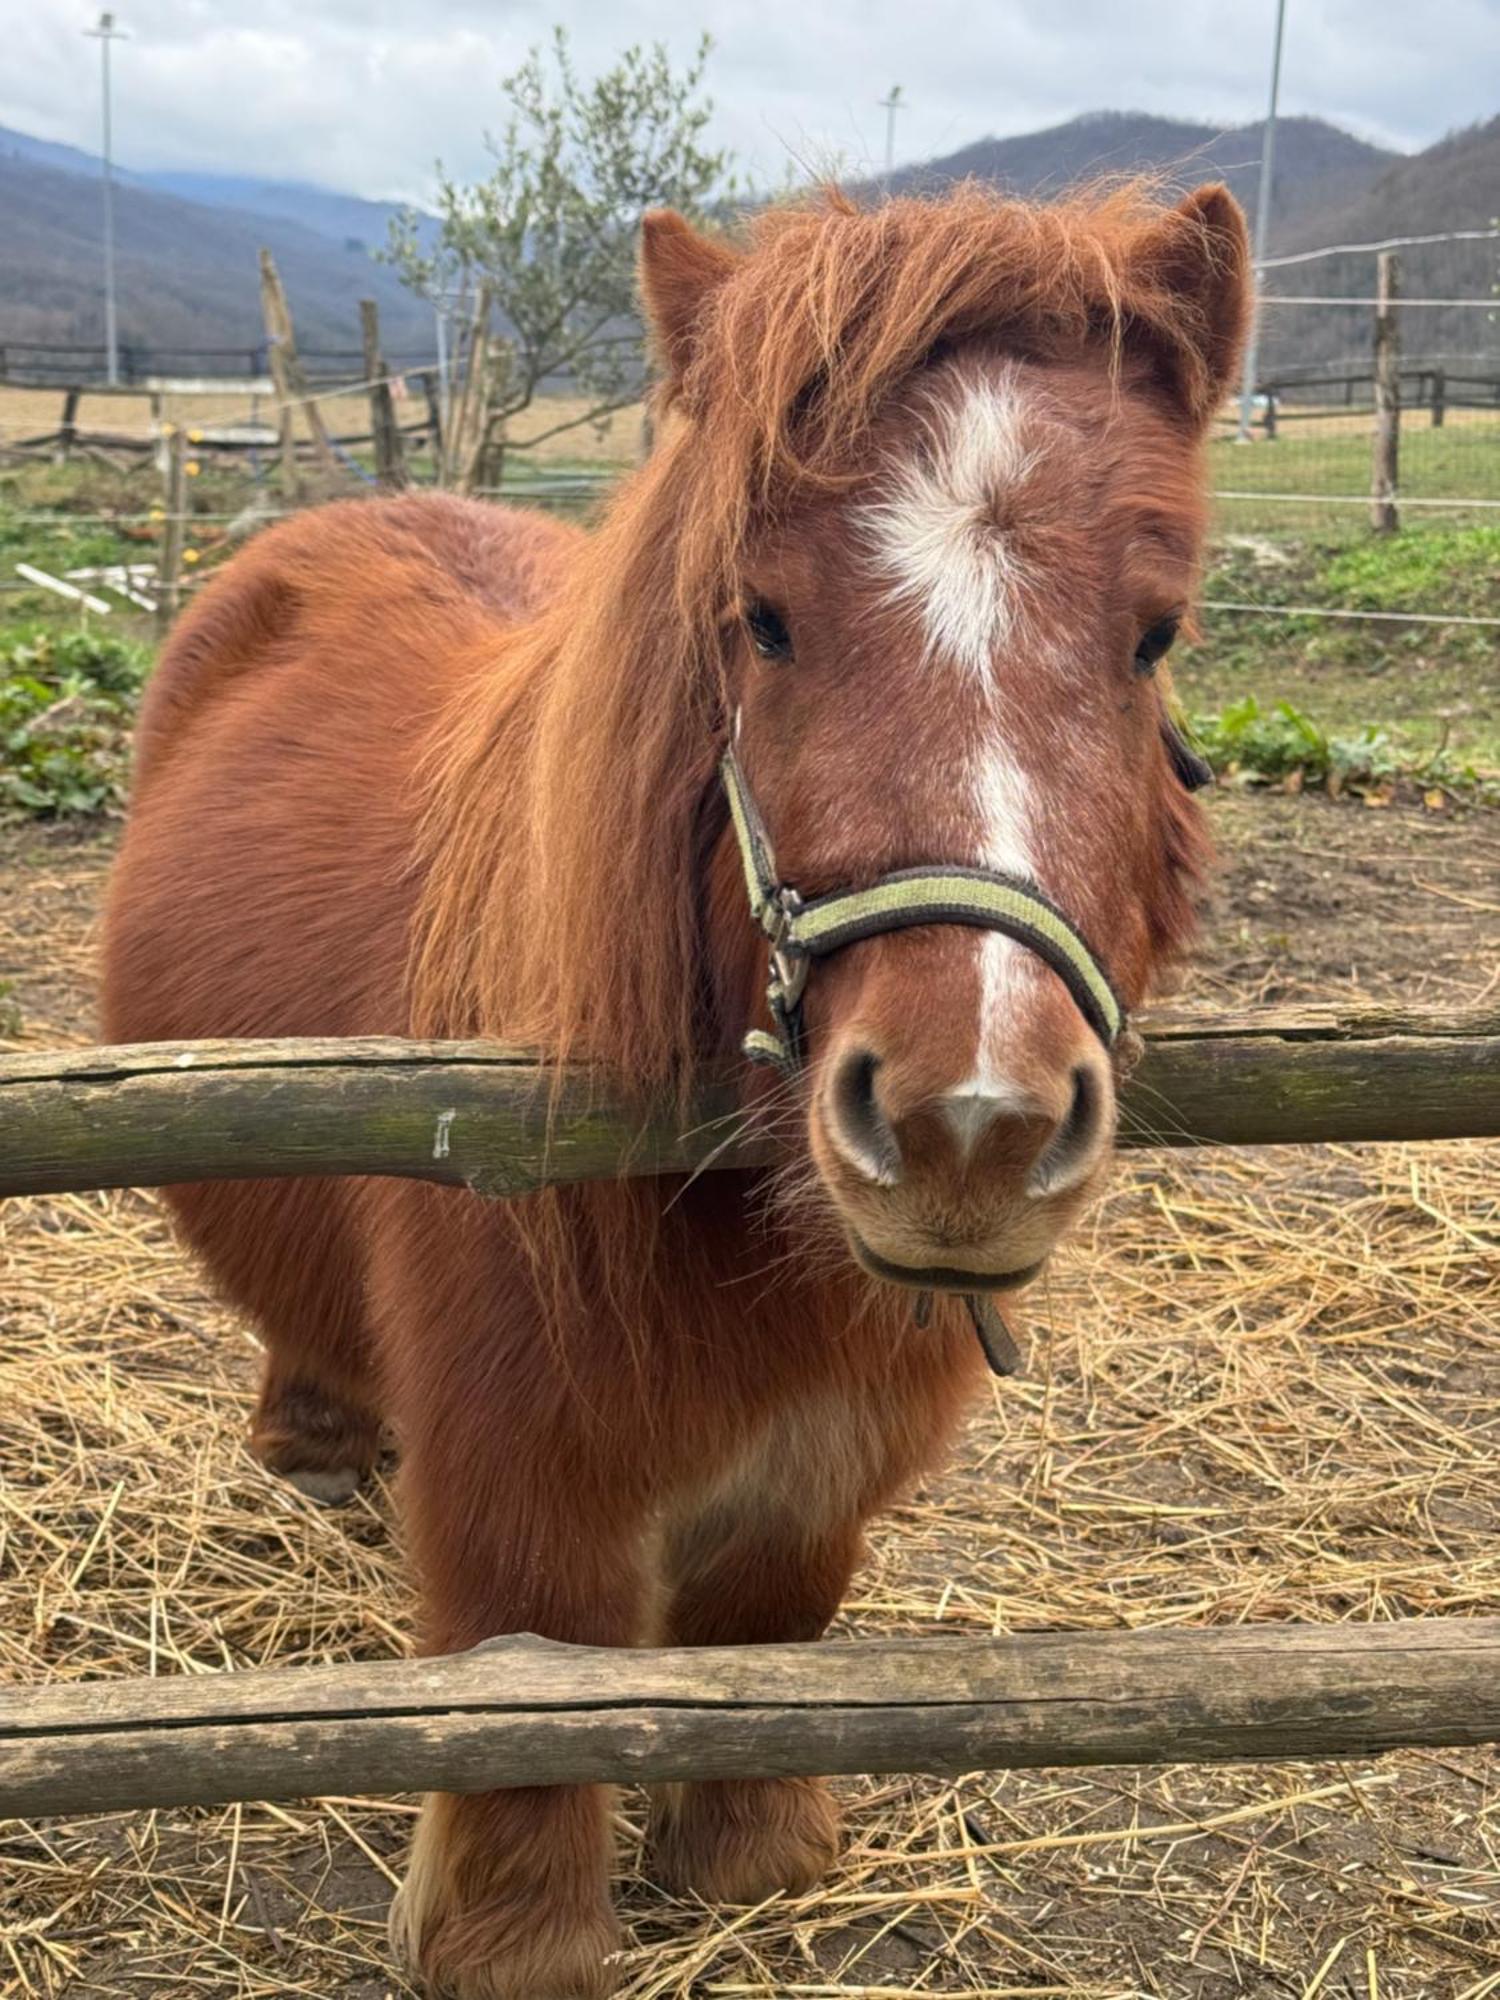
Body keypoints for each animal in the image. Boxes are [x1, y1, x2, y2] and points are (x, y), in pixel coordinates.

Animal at [103, 180, 1256, 1992]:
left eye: (1154, 637)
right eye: (763, 621)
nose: (969, 1126)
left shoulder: (828, 1449)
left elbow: (766, 1624)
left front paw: (748, 1861)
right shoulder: (516, 1467)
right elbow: (538, 1686)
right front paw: (516, 1943)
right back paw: (316, 1447)